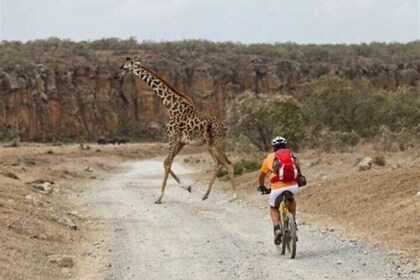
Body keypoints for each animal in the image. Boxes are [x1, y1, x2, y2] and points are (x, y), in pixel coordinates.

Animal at [115, 58, 238, 205]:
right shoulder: (181, 141)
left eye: (123, 67)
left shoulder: (172, 136)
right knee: (219, 164)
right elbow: (165, 162)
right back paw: (205, 194)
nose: (116, 76)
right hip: (212, 144)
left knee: (227, 164)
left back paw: (234, 196)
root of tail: (224, 127)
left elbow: (168, 165)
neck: (170, 105)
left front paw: (159, 197)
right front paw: (187, 187)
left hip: (215, 144)